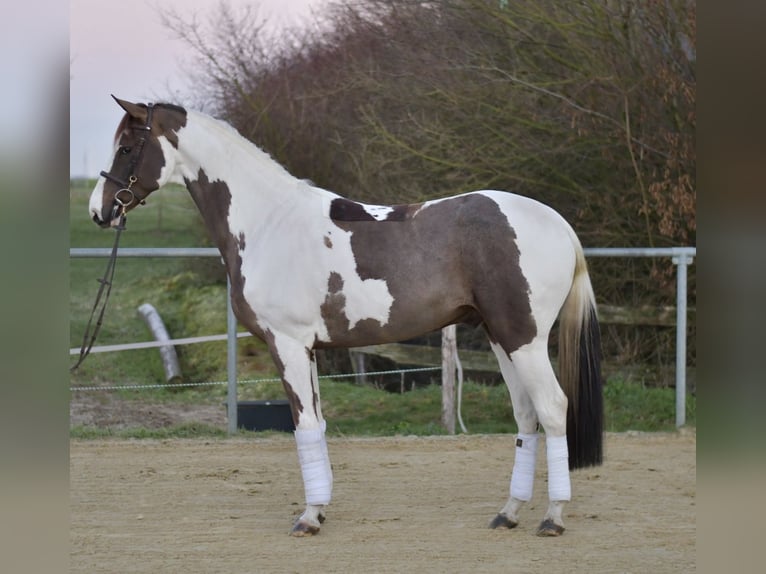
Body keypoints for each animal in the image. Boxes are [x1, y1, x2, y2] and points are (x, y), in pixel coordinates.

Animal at [89, 97, 604, 537]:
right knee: (526, 414)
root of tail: (558, 223)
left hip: (524, 339)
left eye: (127, 147)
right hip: (502, 338)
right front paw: (318, 510)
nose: (100, 210)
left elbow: (304, 427)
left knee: (552, 408)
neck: (268, 223)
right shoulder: (309, 349)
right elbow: (316, 427)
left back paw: (553, 517)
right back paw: (508, 513)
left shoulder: (287, 345)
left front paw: (308, 519)